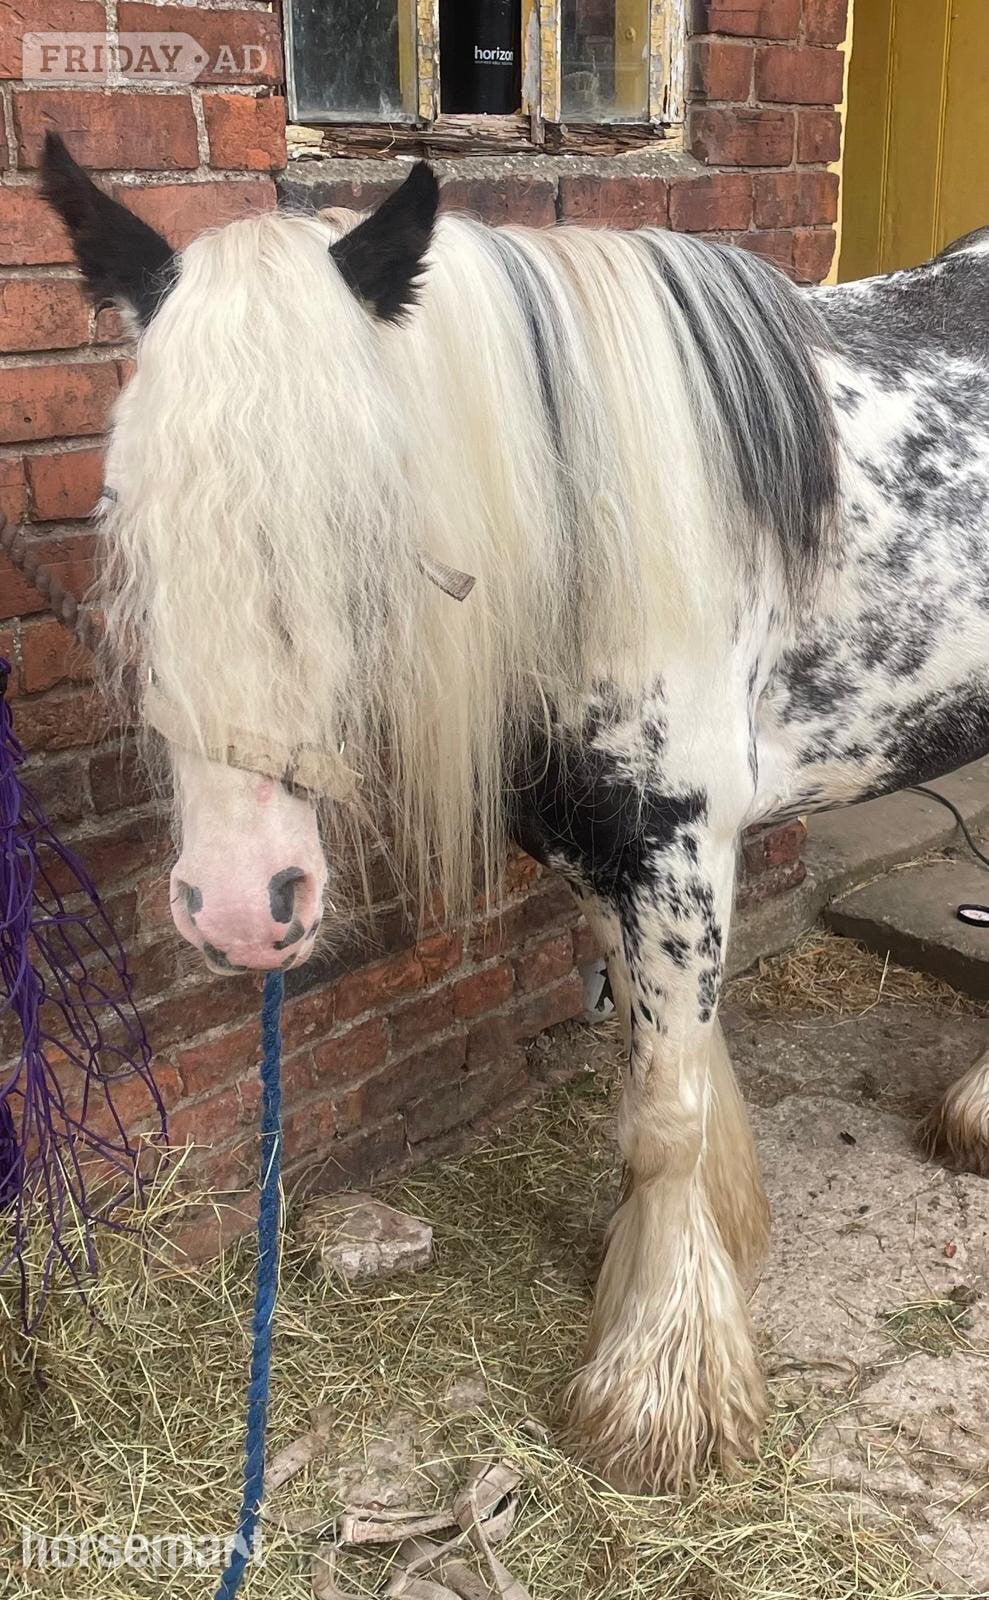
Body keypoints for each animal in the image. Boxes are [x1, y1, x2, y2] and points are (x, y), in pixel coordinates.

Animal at [40, 130, 989, 1495]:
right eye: (123, 505)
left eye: (363, 513)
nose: (236, 902)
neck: (601, 537)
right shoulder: (606, 860)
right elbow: (660, 1087)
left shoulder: (677, 849)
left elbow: (664, 1115)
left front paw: (657, 1394)